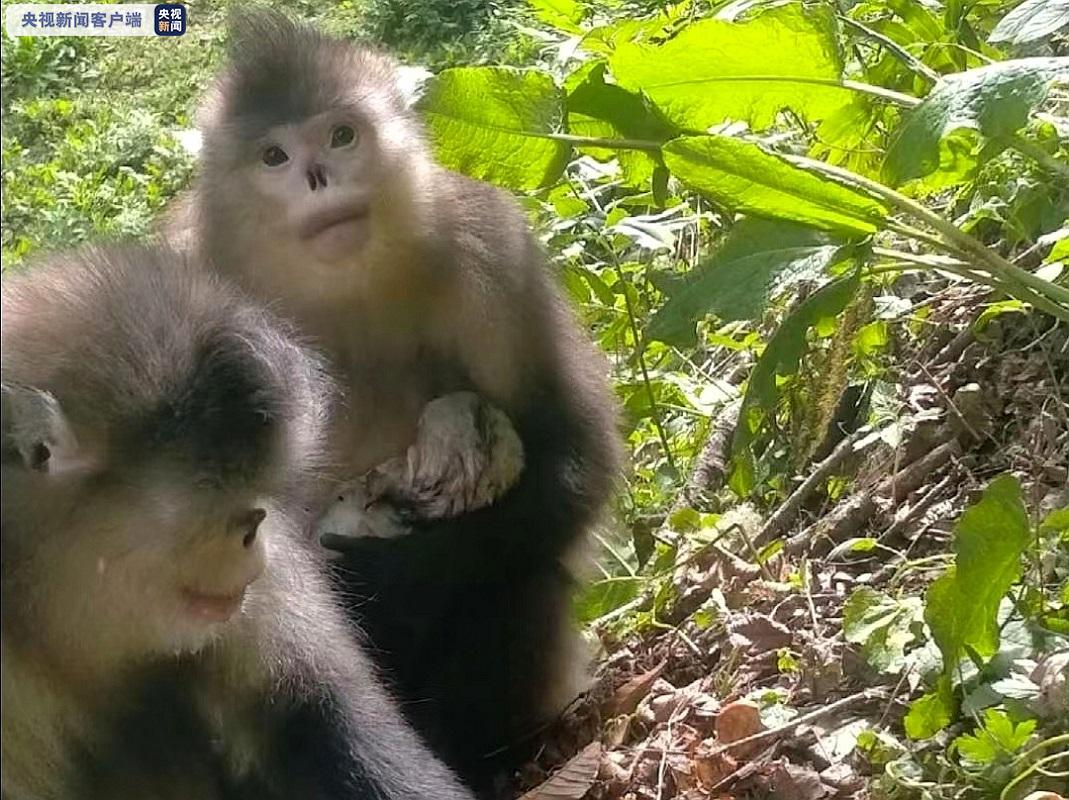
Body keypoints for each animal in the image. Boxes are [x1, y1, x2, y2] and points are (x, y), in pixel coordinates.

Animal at [170, 12, 622, 788]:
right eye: (274, 157)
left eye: (341, 137)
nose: (318, 178)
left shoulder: (489, 246)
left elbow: (574, 446)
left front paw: (391, 580)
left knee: (518, 570)